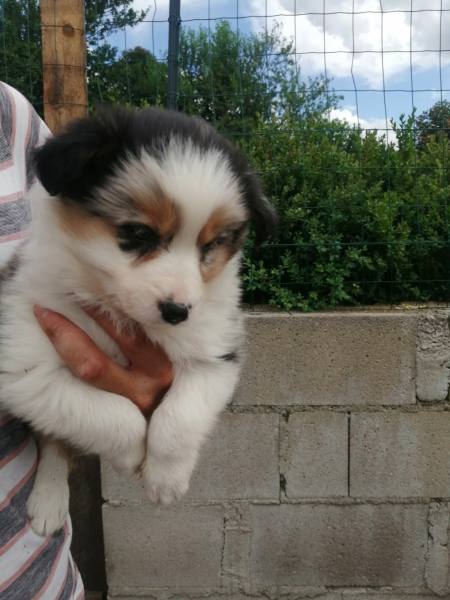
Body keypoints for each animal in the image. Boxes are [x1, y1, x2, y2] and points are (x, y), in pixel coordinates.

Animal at [0, 106, 276, 536]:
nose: (177, 312)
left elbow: (177, 419)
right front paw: (130, 456)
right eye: (139, 232)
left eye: (211, 245)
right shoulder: (27, 368)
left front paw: (166, 480)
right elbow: (115, 416)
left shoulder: (214, 354)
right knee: (53, 441)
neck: (115, 307)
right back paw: (48, 501)